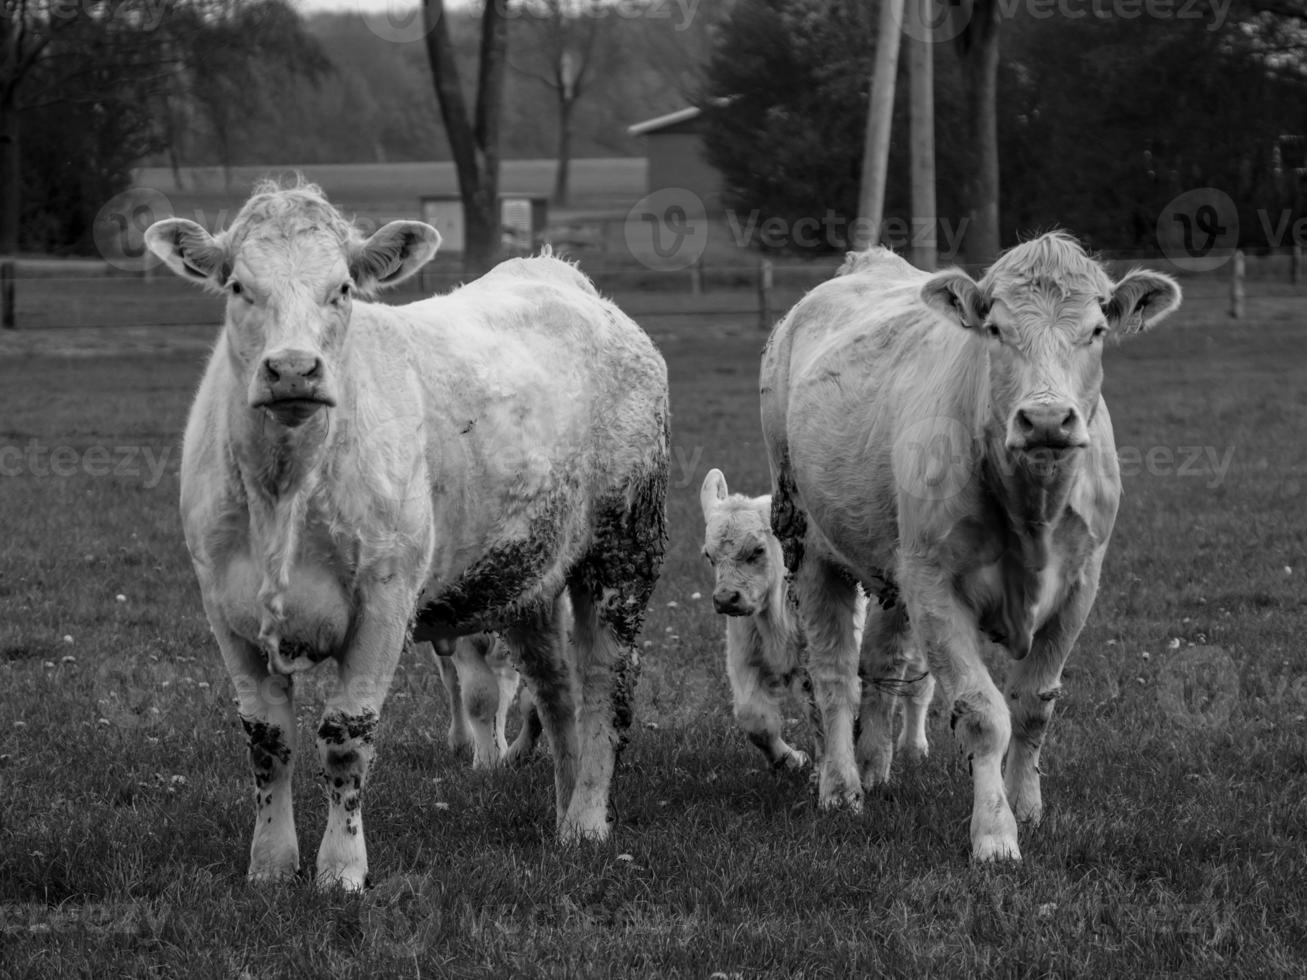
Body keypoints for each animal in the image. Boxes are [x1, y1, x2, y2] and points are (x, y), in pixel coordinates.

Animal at [148, 179, 669, 888]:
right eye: (238, 286)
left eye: (342, 288)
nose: (293, 369)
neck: (284, 486)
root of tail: (565, 278)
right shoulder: (225, 608)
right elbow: (267, 741)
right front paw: (271, 865)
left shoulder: (385, 597)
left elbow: (346, 736)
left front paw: (341, 869)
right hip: (530, 575)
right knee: (556, 690)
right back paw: (566, 820)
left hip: (623, 550)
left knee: (603, 690)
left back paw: (589, 819)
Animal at [700, 467, 935, 773]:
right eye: (709, 555)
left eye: (757, 550)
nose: (726, 598)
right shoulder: (744, 656)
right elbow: (756, 719)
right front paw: (791, 759)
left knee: (919, 686)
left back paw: (913, 748)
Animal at [763, 236, 1181, 857]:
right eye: (996, 329)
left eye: (1097, 330)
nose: (1046, 419)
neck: (1032, 509)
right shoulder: (934, 585)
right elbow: (985, 715)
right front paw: (995, 833)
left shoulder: (1080, 587)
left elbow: (1032, 707)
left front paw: (1028, 807)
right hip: (806, 540)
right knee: (834, 675)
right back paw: (841, 787)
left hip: (891, 565)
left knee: (880, 663)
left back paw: (875, 766)